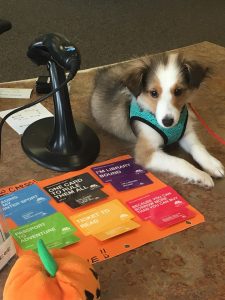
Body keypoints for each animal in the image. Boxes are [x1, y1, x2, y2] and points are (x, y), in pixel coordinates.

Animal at [90, 52, 224, 188]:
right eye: (153, 93)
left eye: (178, 91)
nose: (167, 122)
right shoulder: (146, 152)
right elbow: (179, 161)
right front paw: (200, 175)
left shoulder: (186, 134)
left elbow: (198, 147)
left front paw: (212, 164)